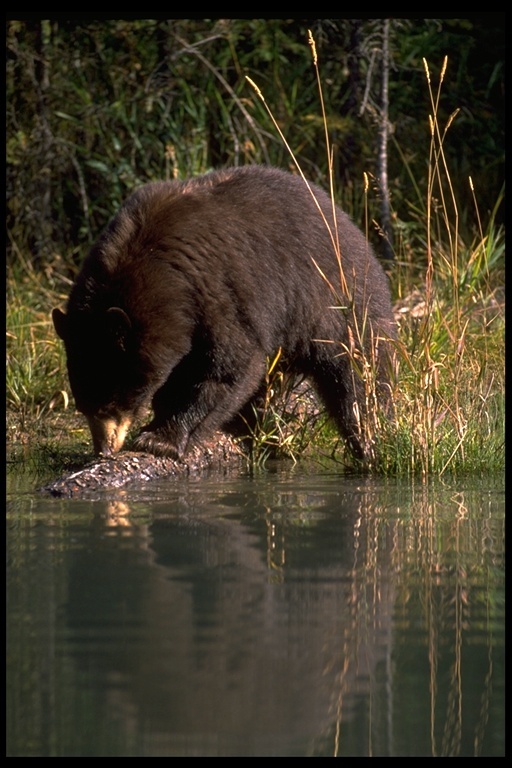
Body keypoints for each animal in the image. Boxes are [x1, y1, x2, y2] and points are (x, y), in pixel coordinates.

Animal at [52, 164, 396, 460]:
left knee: (357, 379)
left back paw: (368, 440)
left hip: (341, 305)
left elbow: (229, 365)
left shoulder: (217, 290)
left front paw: (161, 438)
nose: (103, 449)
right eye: (82, 402)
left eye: (111, 399)